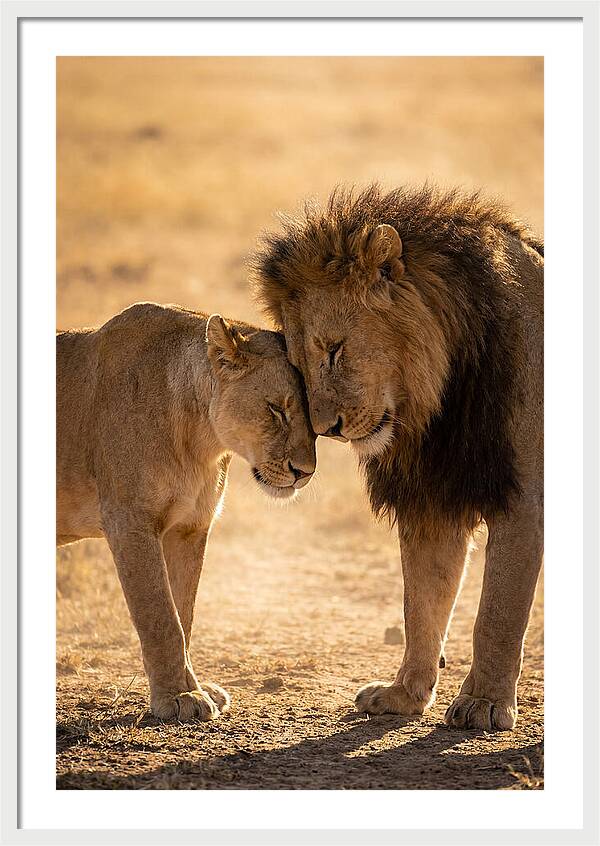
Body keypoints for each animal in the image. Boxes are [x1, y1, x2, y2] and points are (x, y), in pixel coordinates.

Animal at [57, 302, 316, 721]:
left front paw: (194, 686)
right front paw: (180, 696)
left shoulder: (190, 527)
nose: (304, 472)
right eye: (277, 409)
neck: (201, 440)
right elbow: (161, 616)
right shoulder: (129, 522)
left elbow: (184, 612)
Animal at [253, 184, 543, 731]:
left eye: (334, 349)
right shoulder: (432, 501)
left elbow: (497, 612)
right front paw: (405, 695)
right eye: (298, 365)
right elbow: (421, 604)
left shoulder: (524, 498)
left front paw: (484, 703)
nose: (327, 429)